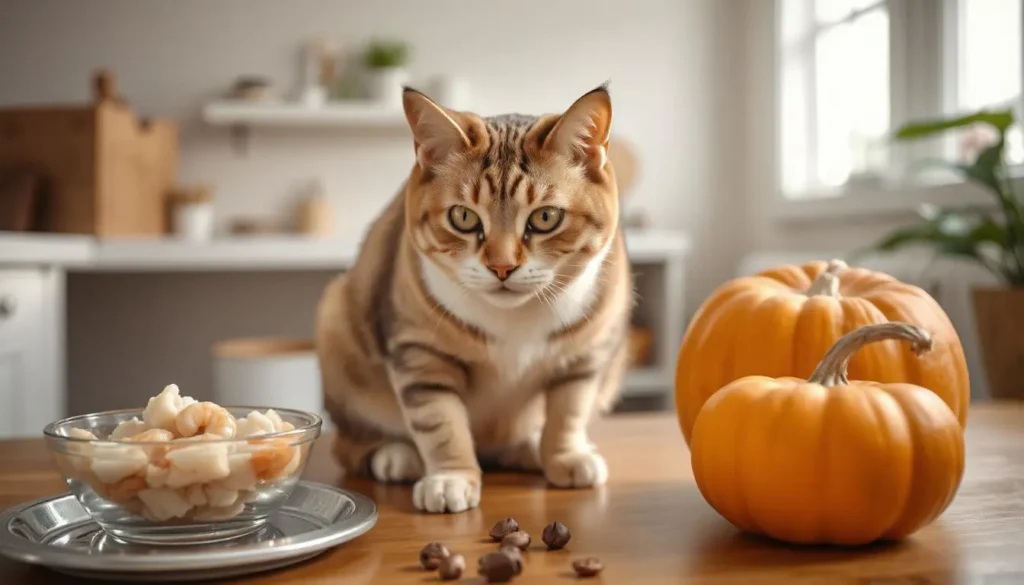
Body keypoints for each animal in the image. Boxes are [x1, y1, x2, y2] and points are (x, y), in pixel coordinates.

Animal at [313, 84, 630, 514]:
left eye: (546, 217)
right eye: (463, 217)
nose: (502, 267)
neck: (515, 319)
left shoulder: (586, 355)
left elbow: (569, 411)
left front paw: (565, 456)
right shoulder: (420, 352)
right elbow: (440, 422)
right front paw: (450, 479)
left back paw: (531, 448)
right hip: (337, 333)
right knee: (349, 443)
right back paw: (397, 456)